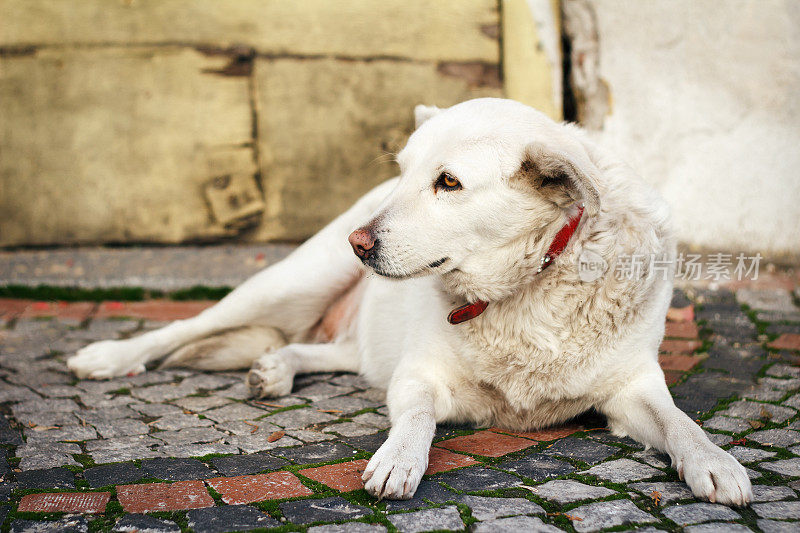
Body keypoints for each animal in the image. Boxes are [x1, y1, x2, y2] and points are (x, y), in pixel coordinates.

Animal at [67, 98, 752, 502]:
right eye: (401, 170)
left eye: (448, 182)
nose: (359, 242)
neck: (527, 285)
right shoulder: (418, 376)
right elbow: (418, 417)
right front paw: (398, 460)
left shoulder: (632, 388)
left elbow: (681, 422)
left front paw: (714, 462)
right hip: (289, 283)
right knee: (187, 327)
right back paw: (107, 356)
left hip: (353, 339)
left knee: (318, 351)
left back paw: (275, 370)